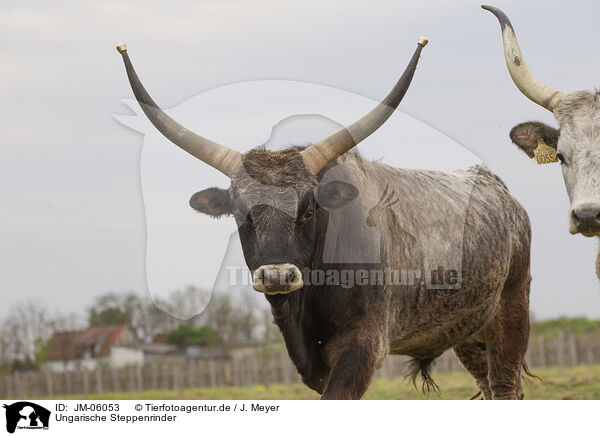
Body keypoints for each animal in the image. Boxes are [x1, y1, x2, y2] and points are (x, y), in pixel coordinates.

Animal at [116, 37, 528, 398]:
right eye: (239, 212)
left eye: (309, 208)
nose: (277, 276)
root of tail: (499, 189)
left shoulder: (363, 343)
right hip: (468, 332)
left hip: (511, 313)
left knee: (505, 387)